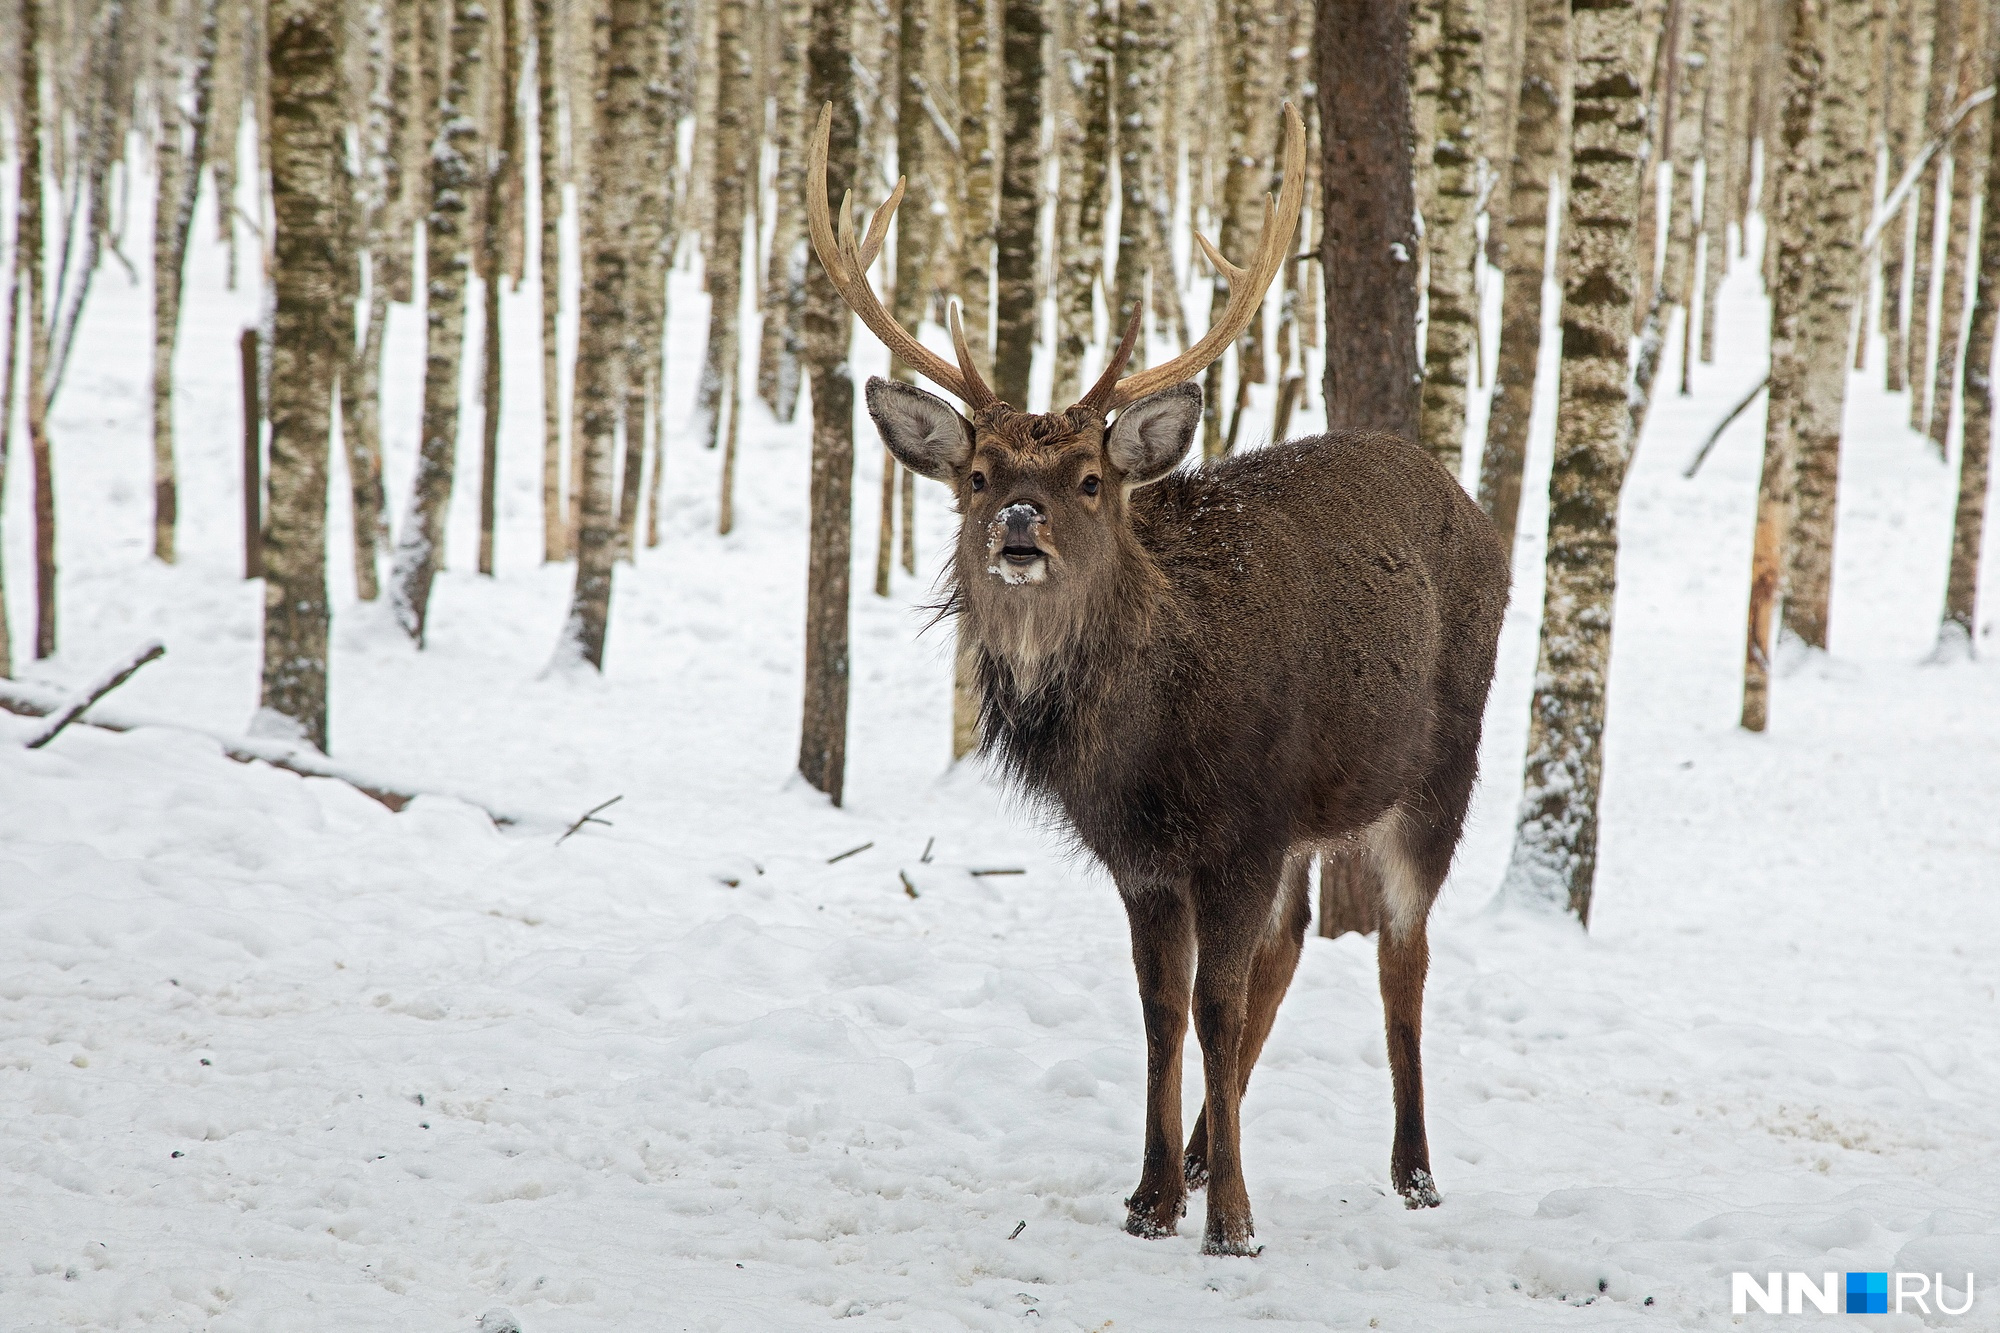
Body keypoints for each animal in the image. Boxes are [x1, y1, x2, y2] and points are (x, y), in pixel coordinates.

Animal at [804, 98, 1504, 1248]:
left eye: (1088, 477)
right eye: (978, 473)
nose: (1019, 524)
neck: (1148, 743)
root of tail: (1460, 493)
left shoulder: (1244, 825)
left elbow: (1215, 1007)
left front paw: (1232, 1221)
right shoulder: (1144, 852)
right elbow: (1162, 1009)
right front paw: (1151, 1195)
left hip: (1441, 761)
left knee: (1400, 954)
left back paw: (1413, 1171)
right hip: (1309, 817)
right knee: (1290, 946)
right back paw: (1209, 1149)